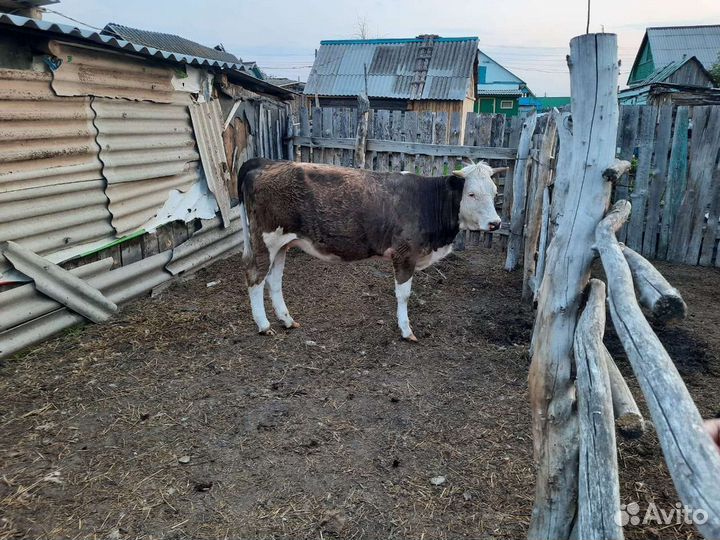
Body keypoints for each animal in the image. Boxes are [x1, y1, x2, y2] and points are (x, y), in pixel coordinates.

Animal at [237, 158, 504, 341]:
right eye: (471, 194)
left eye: (494, 192)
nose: (496, 223)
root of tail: (266, 163)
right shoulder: (404, 254)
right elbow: (404, 294)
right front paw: (406, 330)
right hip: (266, 240)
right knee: (254, 276)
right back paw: (263, 325)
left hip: (283, 244)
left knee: (274, 281)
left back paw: (287, 320)